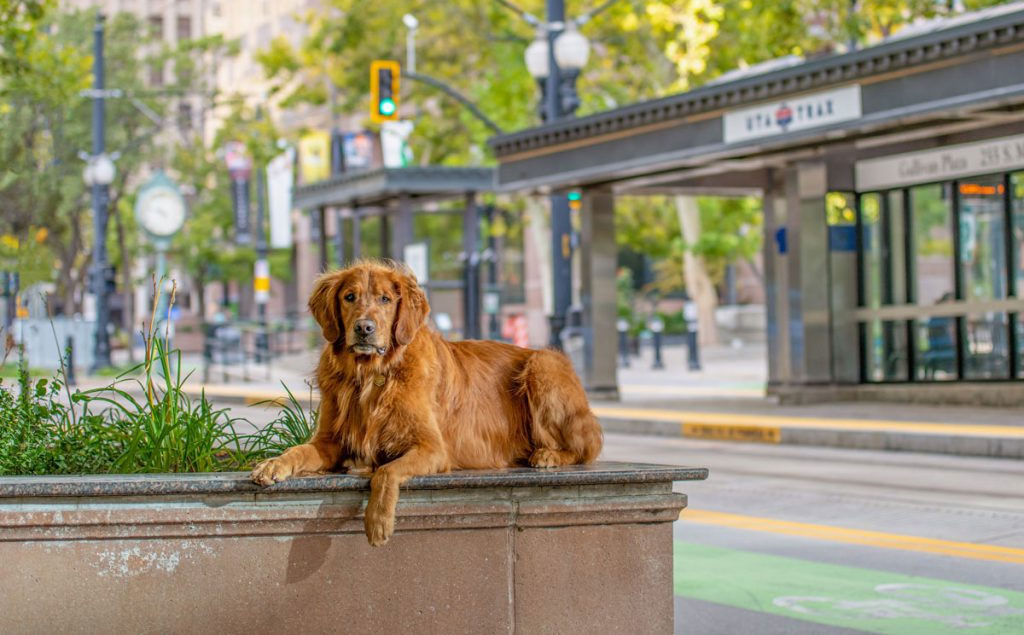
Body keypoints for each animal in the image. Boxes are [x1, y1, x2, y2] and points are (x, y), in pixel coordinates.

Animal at [252, 260, 602, 544]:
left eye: (385, 299)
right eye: (349, 297)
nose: (364, 328)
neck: (372, 375)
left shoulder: (433, 447)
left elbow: (386, 472)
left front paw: (377, 521)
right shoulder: (328, 441)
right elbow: (299, 450)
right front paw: (273, 464)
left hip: (544, 365)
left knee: (586, 448)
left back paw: (548, 455)